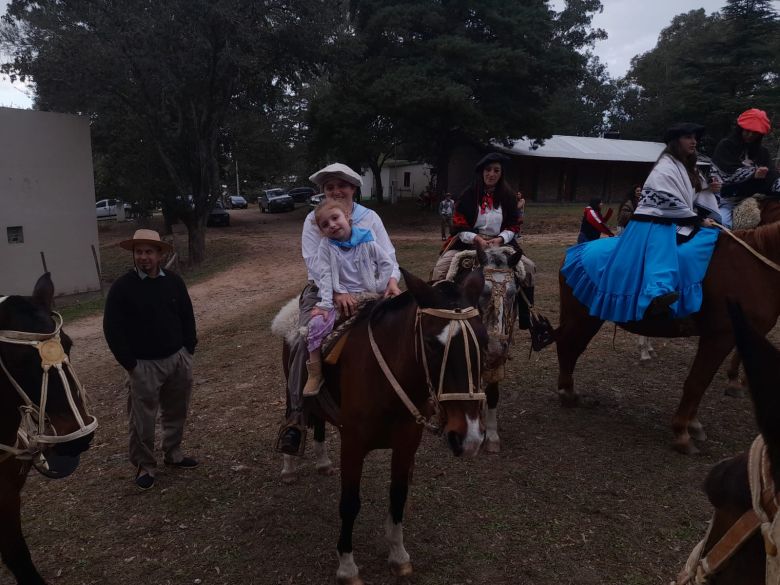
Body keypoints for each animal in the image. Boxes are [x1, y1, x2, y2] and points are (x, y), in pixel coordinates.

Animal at [280, 266, 488, 580]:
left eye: (483, 341)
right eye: (431, 344)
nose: (470, 438)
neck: (385, 381)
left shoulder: (406, 443)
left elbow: (398, 496)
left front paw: (398, 554)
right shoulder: (353, 445)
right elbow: (350, 503)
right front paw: (347, 566)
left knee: (319, 424)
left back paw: (323, 462)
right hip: (291, 385)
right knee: (296, 414)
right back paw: (290, 464)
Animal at [438, 242, 524, 452]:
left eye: (513, 293)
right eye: (482, 291)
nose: (493, 346)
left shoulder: (498, 358)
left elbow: (492, 392)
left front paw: (491, 435)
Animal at [556, 219, 780, 452]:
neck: (754, 268)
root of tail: (575, 252)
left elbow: (703, 381)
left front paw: (693, 424)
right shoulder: (719, 337)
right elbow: (697, 381)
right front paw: (682, 431)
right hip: (583, 319)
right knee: (567, 347)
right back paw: (567, 393)